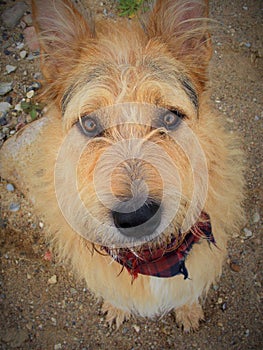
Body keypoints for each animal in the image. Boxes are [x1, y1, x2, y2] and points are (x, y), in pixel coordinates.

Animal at [0, 0, 245, 330]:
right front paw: (116, 308)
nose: (136, 216)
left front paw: (189, 311)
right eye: (90, 124)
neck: (151, 258)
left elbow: (188, 291)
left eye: (169, 117)